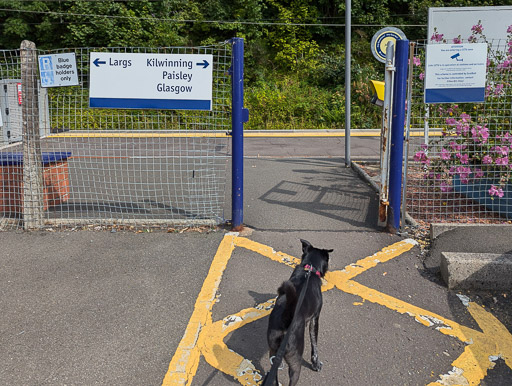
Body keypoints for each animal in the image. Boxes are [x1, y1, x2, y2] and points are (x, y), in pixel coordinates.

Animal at [266, 240, 334, 384]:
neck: (309, 270)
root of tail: (286, 319)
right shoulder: (315, 318)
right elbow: (314, 345)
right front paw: (316, 364)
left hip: (273, 352)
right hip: (295, 361)